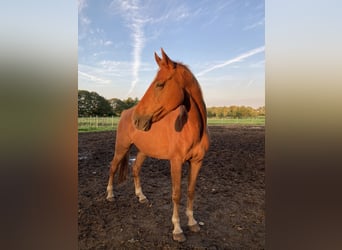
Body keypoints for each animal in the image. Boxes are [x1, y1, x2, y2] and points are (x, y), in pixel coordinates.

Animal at [105, 48, 210, 242]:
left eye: (160, 84)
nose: (137, 120)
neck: (192, 129)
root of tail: (125, 113)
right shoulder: (175, 162)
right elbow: (176, 194)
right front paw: (177, 229)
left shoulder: (197, 162)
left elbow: (191, 191)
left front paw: (192, 222)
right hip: (121, 148)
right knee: (113, 167)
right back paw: (110, 195)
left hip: (143, 151)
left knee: (135, 169)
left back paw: (141, 197)